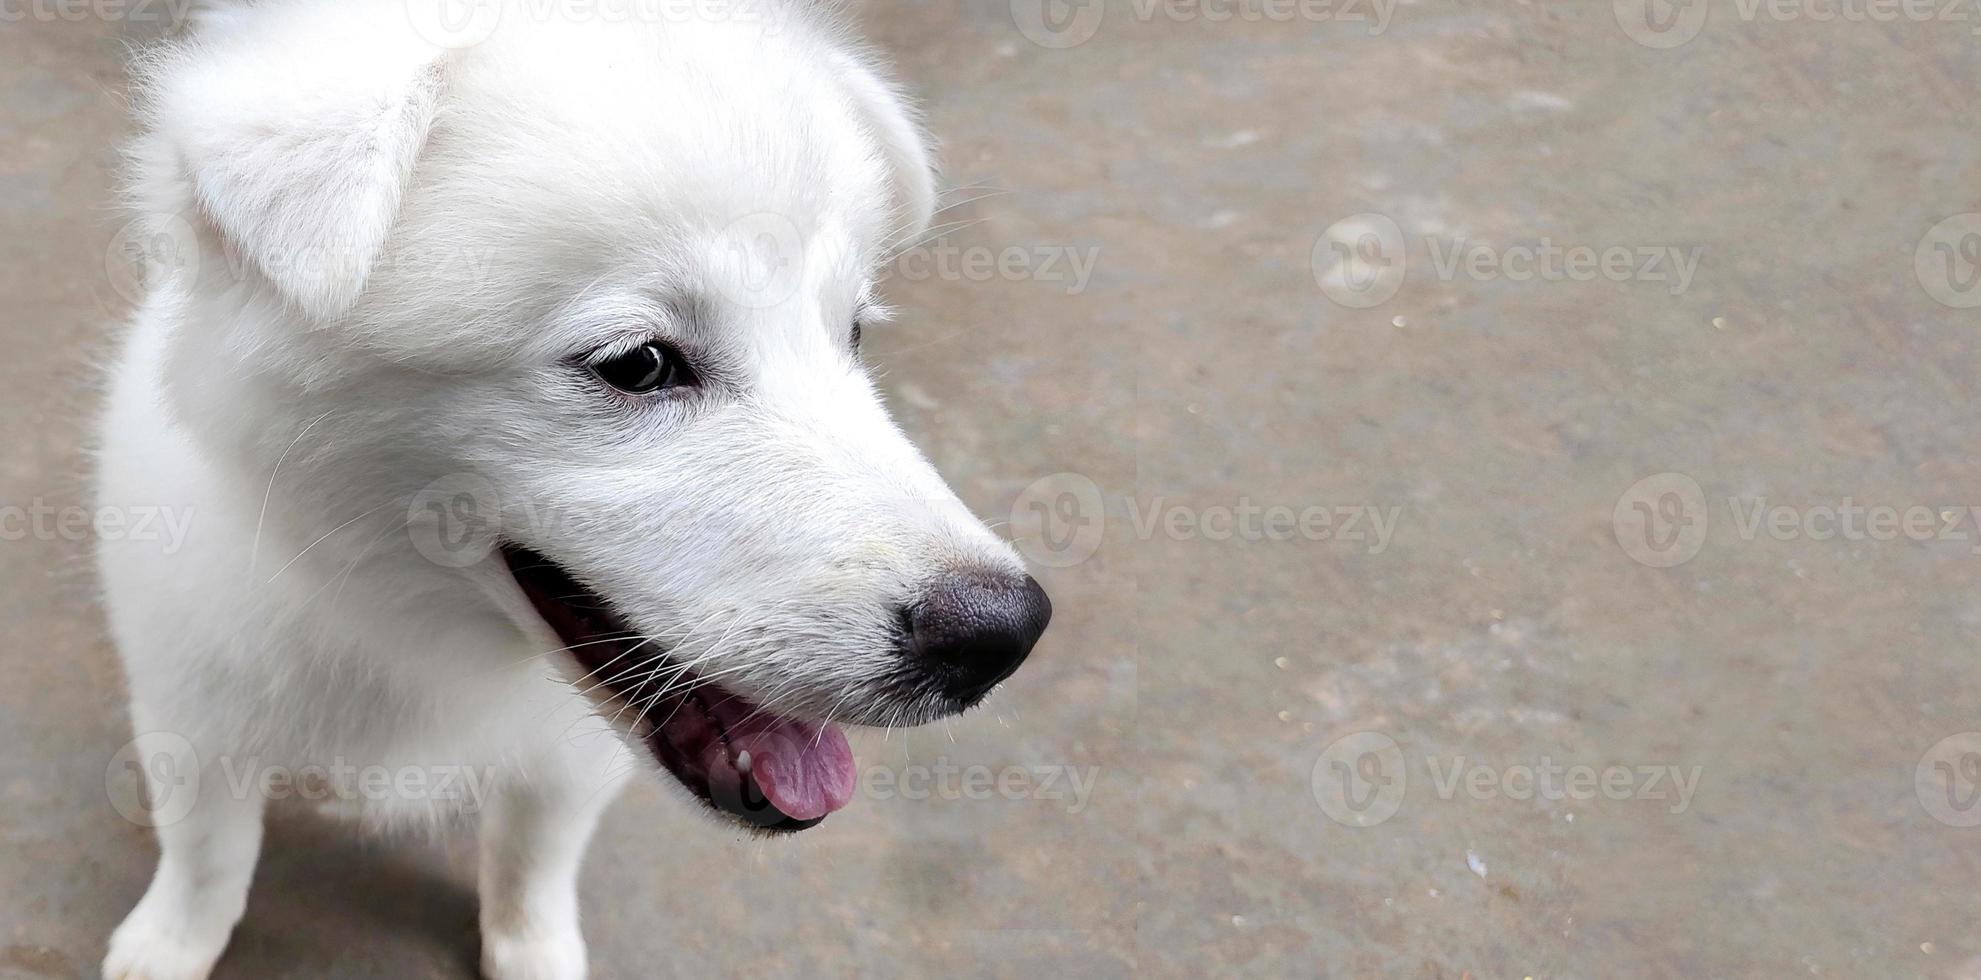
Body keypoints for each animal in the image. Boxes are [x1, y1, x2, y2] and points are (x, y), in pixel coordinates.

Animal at [93, 3, 1053, 978]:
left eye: (851, 334)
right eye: (636, 364)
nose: (1002, 636)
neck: (410, 626)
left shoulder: (564, 759)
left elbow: (532, 860)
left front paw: (532, 952)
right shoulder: (193, 709)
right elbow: (207, 851)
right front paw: (171, 943)